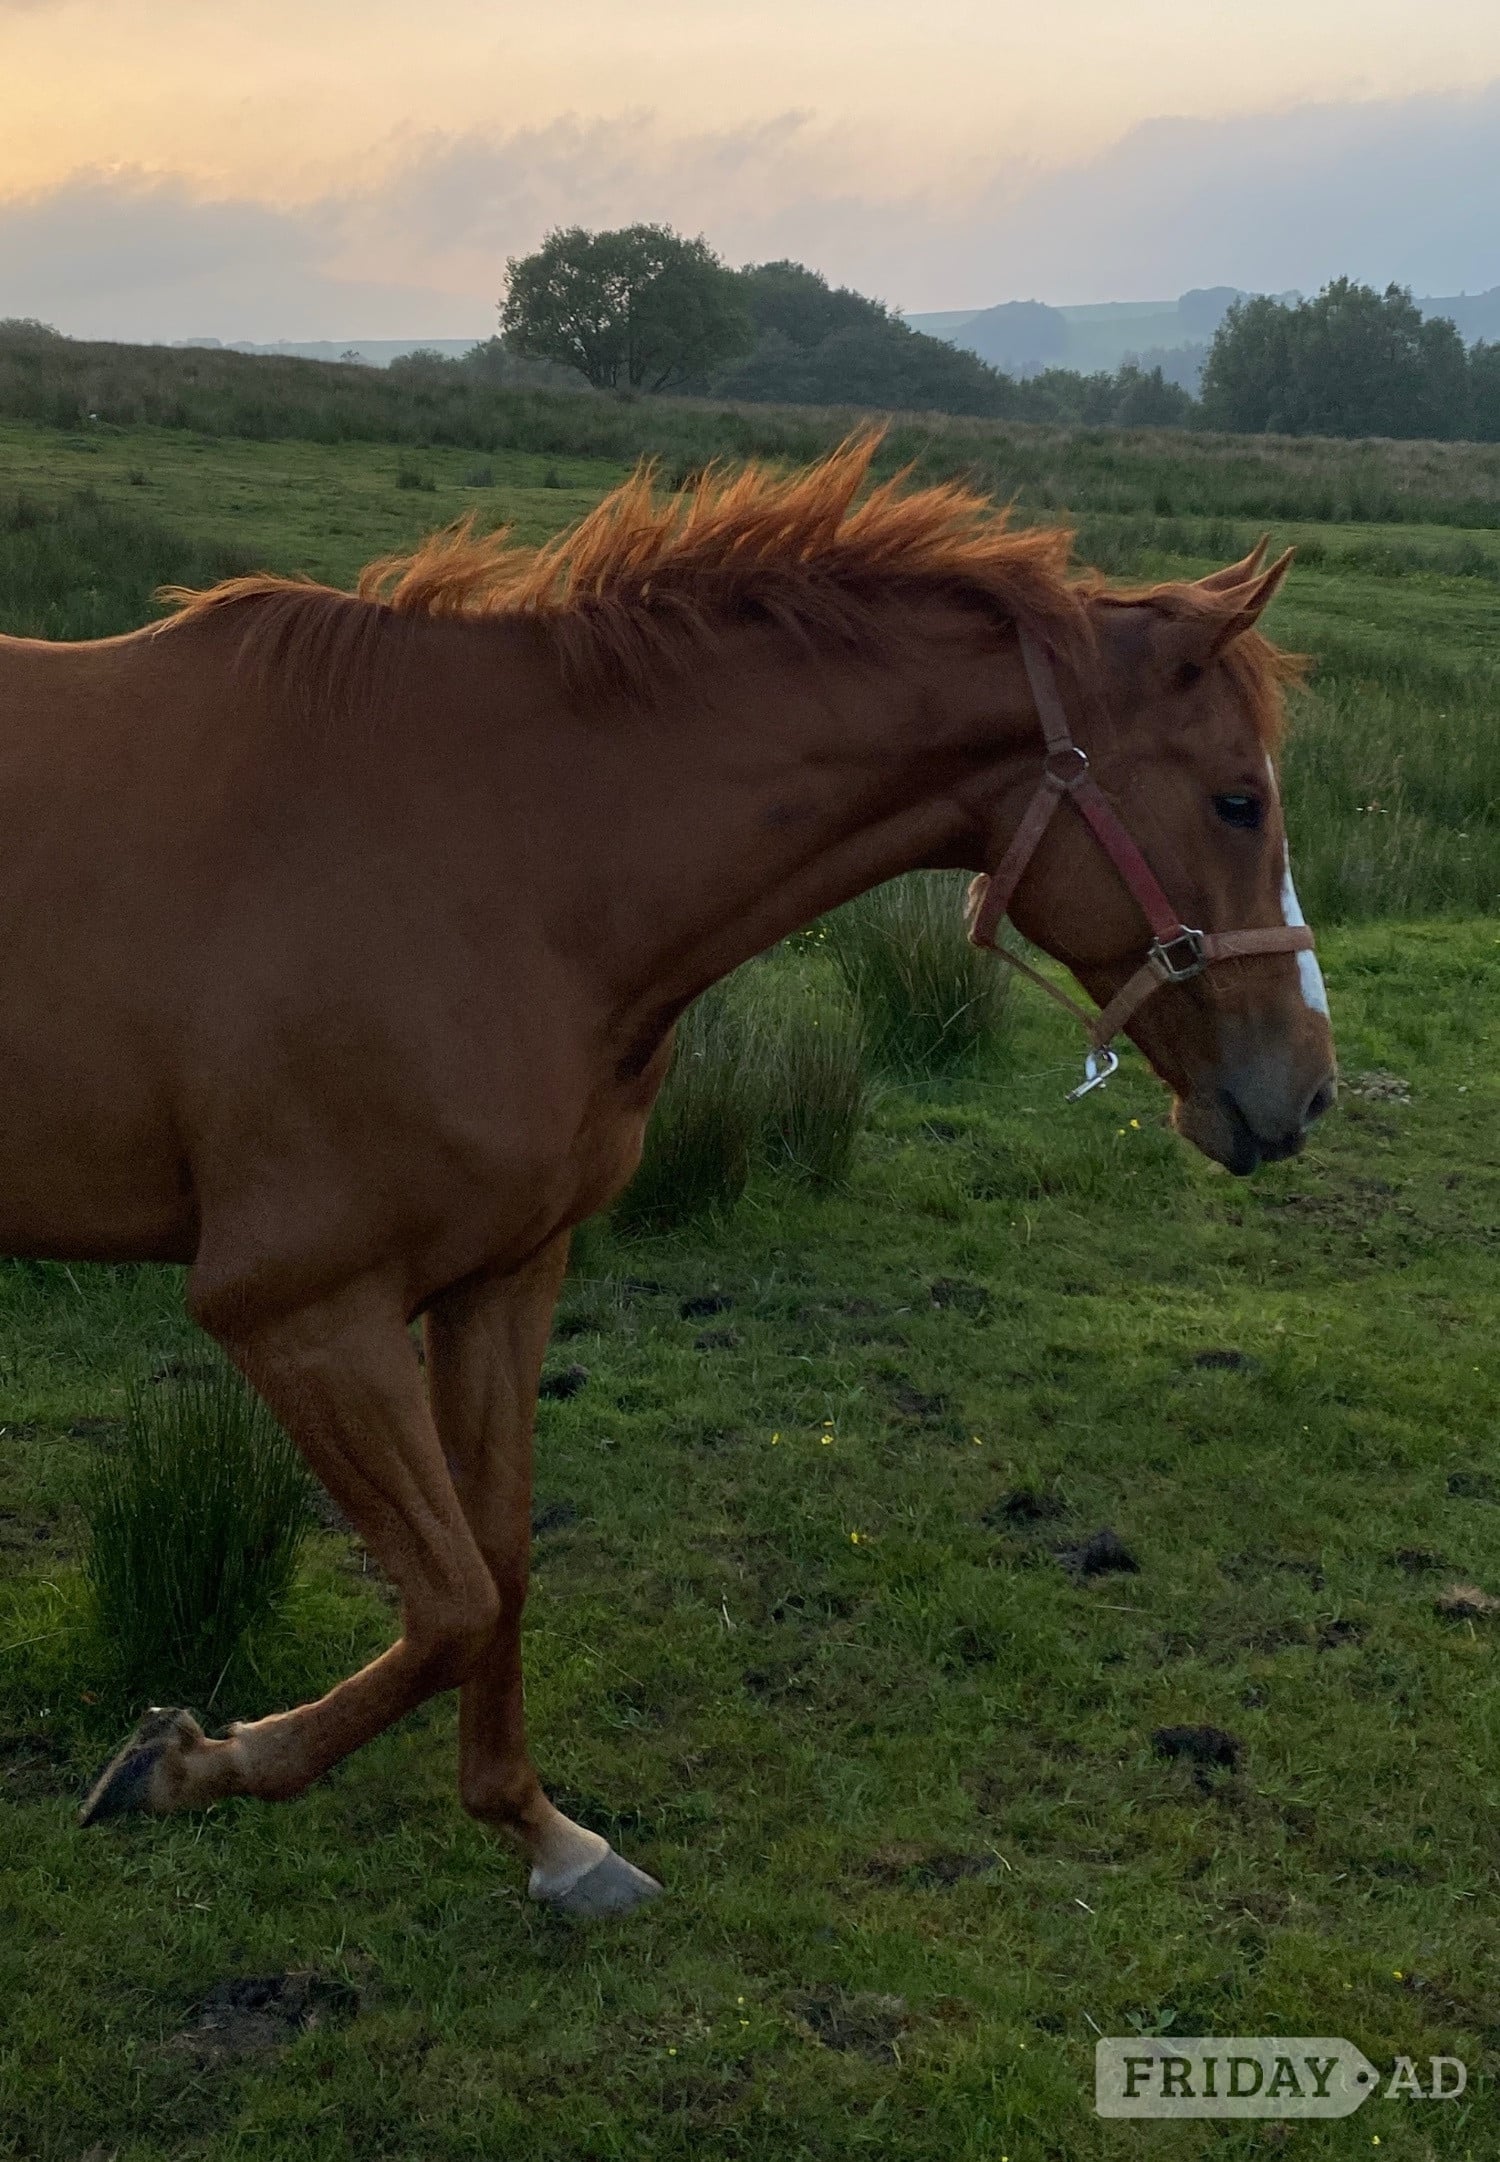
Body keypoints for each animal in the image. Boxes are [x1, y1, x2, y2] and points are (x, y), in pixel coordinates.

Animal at [5, 437, 1335, 1916]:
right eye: (1237, 798)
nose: (1306, 1085)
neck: (500, 858)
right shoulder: (296, 1305)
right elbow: (451, 1601)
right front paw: (182, 1762)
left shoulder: (500, 1276)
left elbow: (499, 1563)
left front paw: (539, 1829)